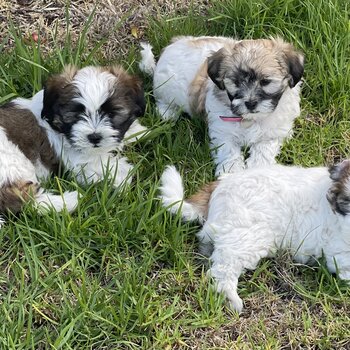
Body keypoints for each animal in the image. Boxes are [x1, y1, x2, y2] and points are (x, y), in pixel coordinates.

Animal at [14, 64, 146, 187]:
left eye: (111, 113)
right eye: (77, 114)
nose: (94, 137)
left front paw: (137, 131)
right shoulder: (81, 163)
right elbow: (105, 168)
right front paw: (125, 178)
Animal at [139, 36, 304, 175]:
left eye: (265, 81)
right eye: (236, 82)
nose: (250, 103)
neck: (250, 119)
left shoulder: (274, 132)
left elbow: (264, 149)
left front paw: (258, 169)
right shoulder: (222, 132)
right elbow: (228, 151)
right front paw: (231, 173)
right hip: (164, 89)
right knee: (163, 101)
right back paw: (167, 113)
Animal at [159, 163, 350, 314]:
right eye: (347, 202)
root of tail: (221, 184)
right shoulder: (338, 252)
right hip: (246, 235)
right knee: (223, 269)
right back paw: (231, 299)